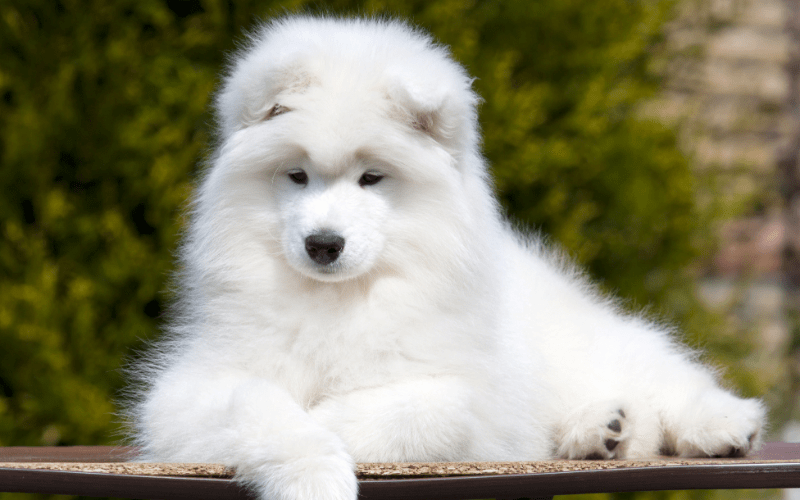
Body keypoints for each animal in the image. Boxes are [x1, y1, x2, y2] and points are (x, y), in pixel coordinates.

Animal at [128, 14, 764, 500]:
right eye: (297, 176)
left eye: (372, 178)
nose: (323, 243)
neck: (342, 299)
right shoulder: (188, 391)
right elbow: (264, 407)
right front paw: (315, 474)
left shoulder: (470, 395)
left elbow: (413, 409)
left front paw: (330, 422)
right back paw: (605, 429)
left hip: (575, 342)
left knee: (652, 368)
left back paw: (719, 422)